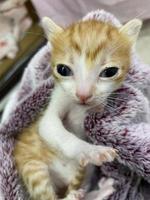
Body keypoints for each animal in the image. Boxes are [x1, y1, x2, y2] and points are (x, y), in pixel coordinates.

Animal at [12, 17, 142, 200]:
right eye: (63, 70)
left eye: (110, 72)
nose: (83, 94)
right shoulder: (52, 108)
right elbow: (55, 130)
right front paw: (91, 151)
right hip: (33, 167)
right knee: (48, 197)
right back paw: (73, 195)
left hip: (85, 172)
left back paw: (99, 191)